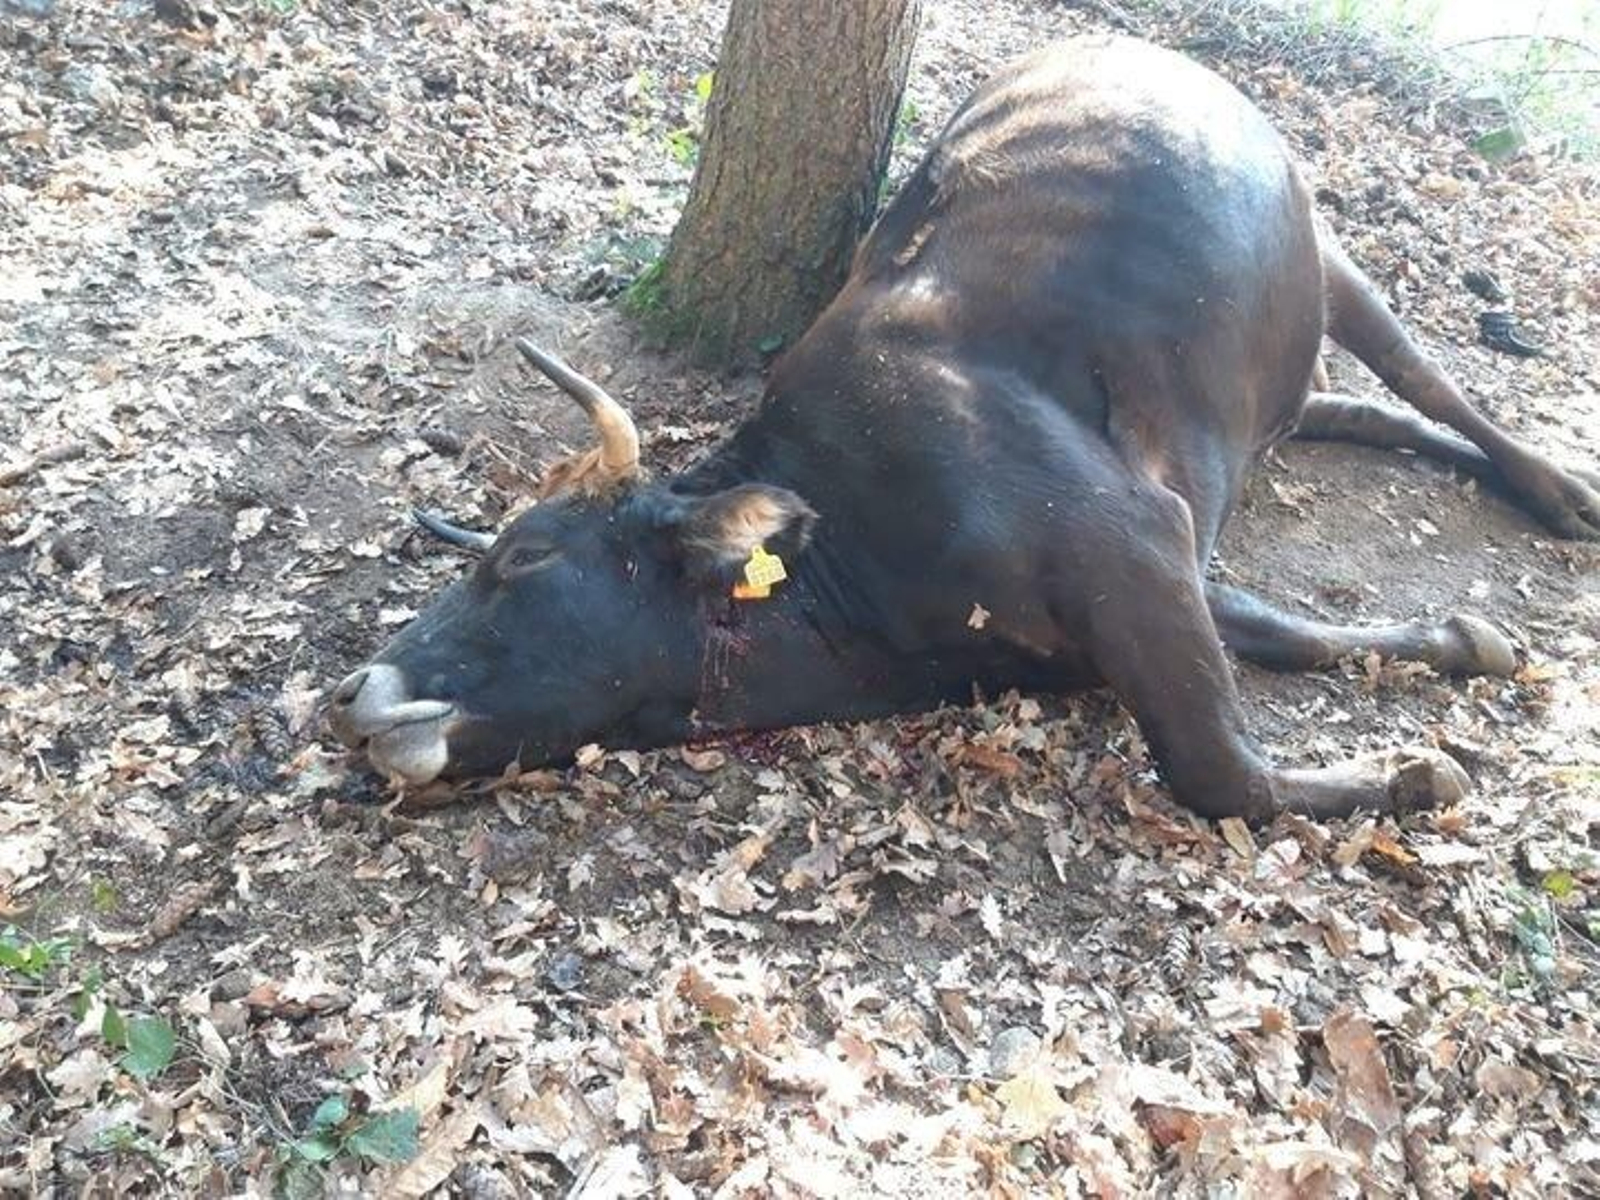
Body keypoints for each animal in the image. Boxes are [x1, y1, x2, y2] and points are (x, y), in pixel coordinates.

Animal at [328, 36, 1599, 822]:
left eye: (522, 557)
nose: (349, 696)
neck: (861, 584)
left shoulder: (1129, 544)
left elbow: (1219, 772)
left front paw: (1411, 777)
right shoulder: (1162, 556)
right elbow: (1283, 632)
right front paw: (1454, 645)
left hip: (1328, 255)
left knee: (1427, 380)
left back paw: (1558, 489)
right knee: (1346, 407)